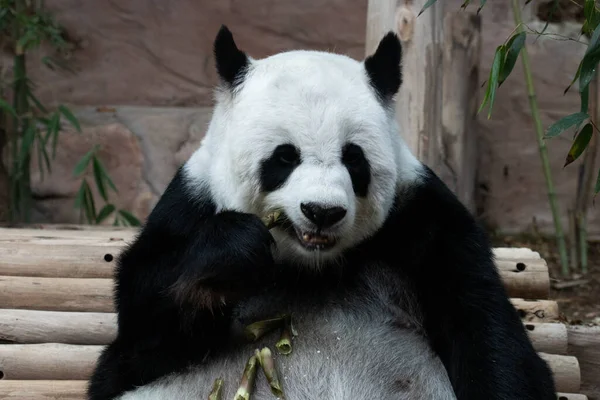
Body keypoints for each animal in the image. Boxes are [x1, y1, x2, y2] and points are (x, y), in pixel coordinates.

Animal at [89, 25, 556, 400]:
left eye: (354, 159)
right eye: (284, 157)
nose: (322, 211)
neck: (310, 265)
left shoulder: (424, 219)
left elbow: (489, 336)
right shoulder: (188, 208)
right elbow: (135, 343)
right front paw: (232, 251)